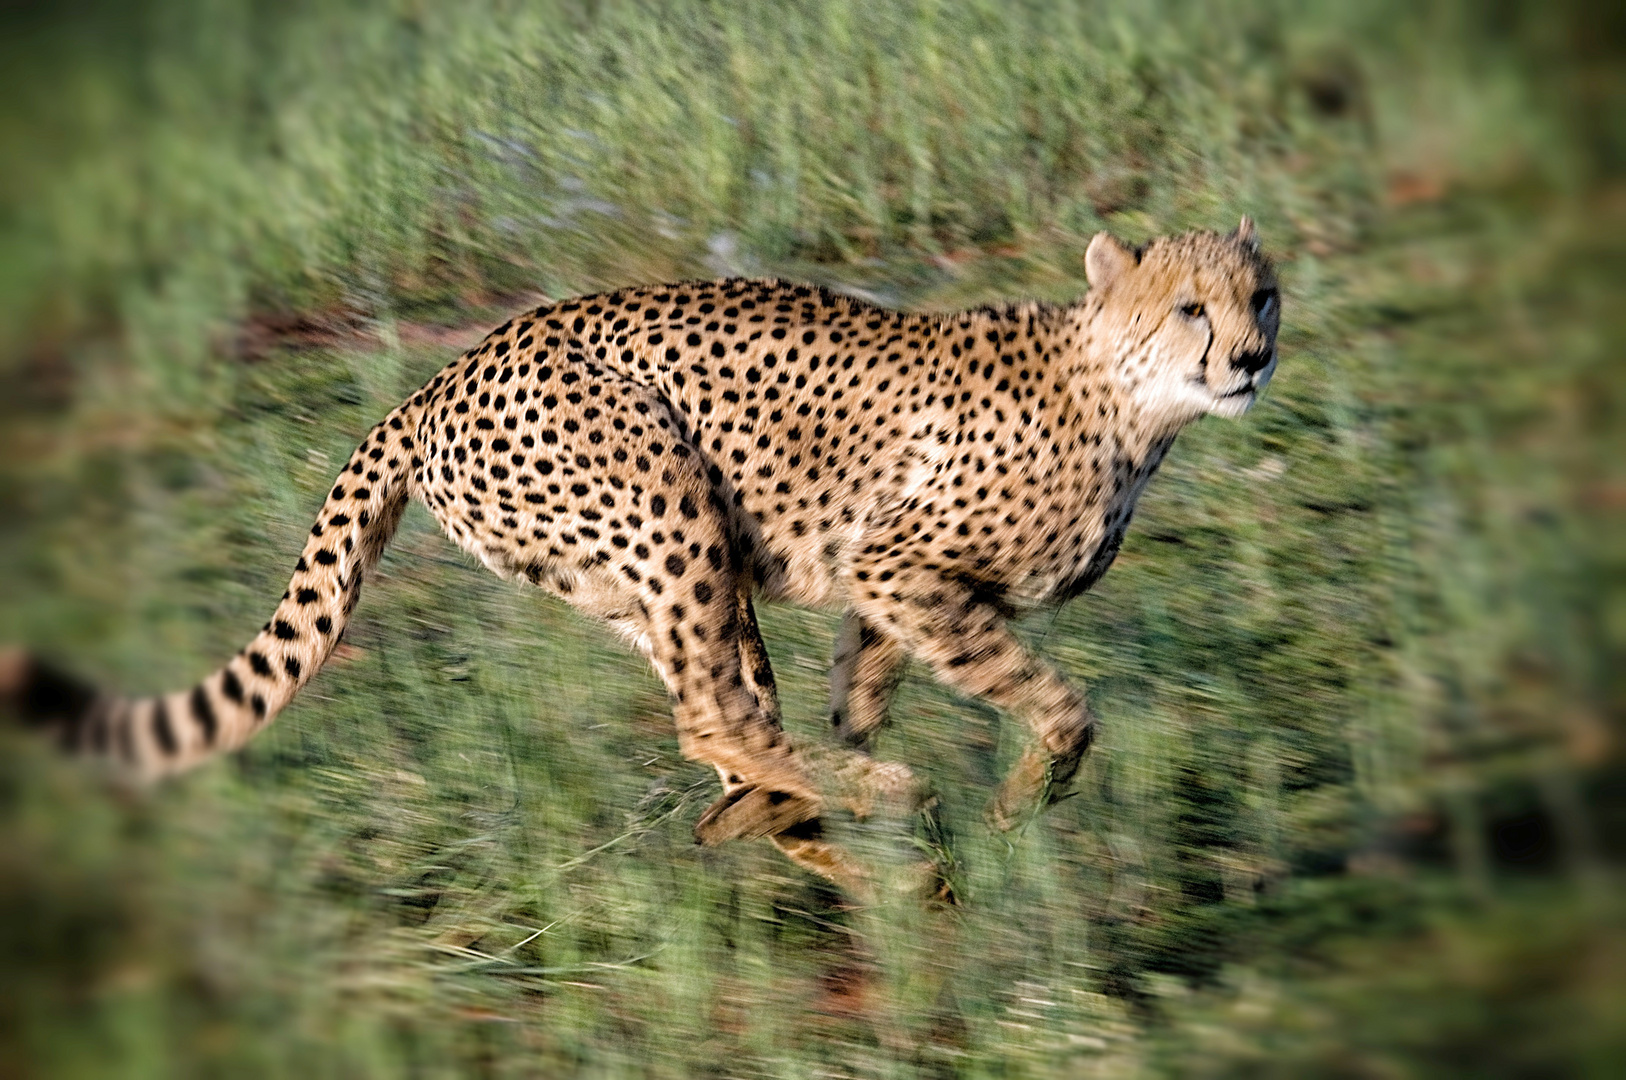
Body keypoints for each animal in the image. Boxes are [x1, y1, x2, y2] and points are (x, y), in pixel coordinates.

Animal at [6, 219, 1287, 891]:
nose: (1252, 357)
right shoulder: (899, 563)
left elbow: (859, 687)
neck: (1126, 398)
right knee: (712, 723)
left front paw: (891, 768)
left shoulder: (884, 586)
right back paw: (879, 813)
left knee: (728, 735)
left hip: (647, 579)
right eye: (1190, 307)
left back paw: (818, 832)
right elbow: (1062, 708)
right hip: (672, 508)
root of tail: (440, 375)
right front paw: (1017, 803)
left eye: (1262, 295)